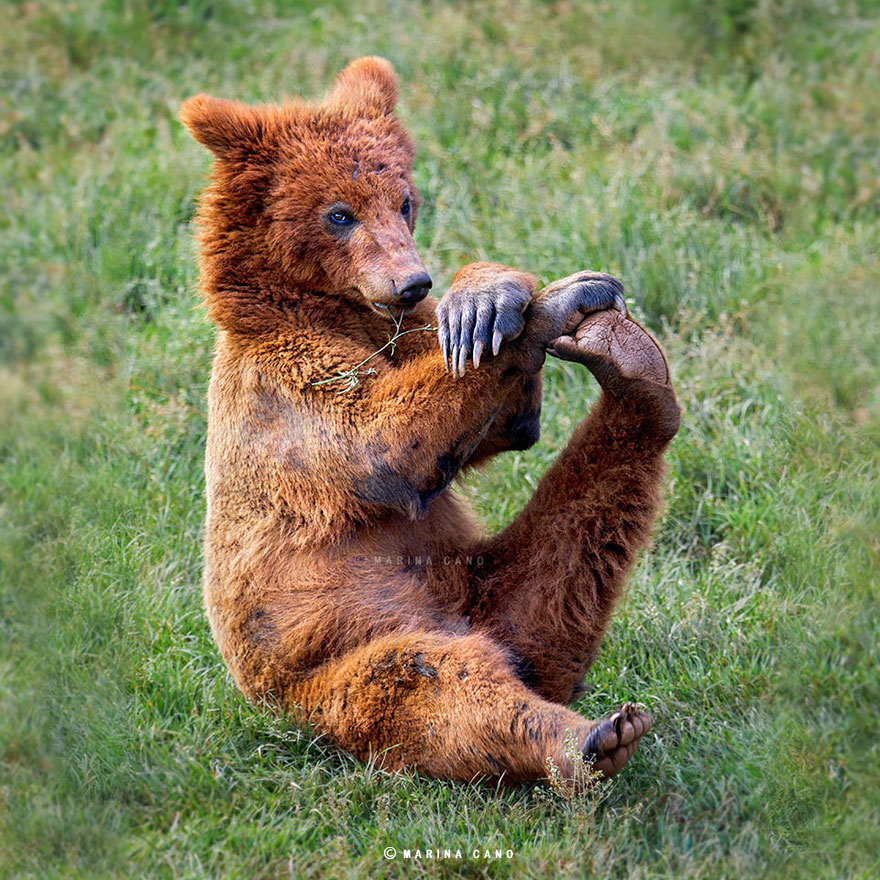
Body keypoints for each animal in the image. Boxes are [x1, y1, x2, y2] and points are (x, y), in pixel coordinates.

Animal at [179, 56, 680, 784]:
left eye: (405, 200)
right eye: (339, 214)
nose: (413, 280)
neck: (338, 314)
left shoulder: (406, 339)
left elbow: (504, 418)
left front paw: (484, 299)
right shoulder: (283, 392)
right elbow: (378, 439)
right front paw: (537, 307)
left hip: (490, 583)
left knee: (577, 547)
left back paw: (628, 365)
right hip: (335, 671)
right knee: (433, 685)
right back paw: (589, 738)